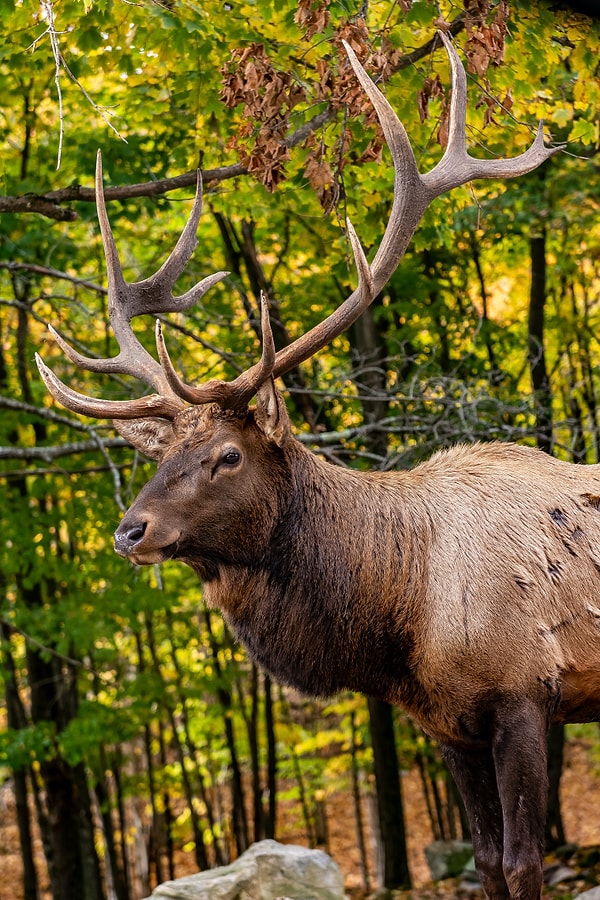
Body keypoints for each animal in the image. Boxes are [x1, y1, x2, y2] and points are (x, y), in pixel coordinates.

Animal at [36, 31, 596, 900]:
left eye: (227, 455)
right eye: (162, 453)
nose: (131, 531)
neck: (402, 617)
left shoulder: (523, 695)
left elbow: (524, 864)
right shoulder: (448, 723)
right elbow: (487, 863)